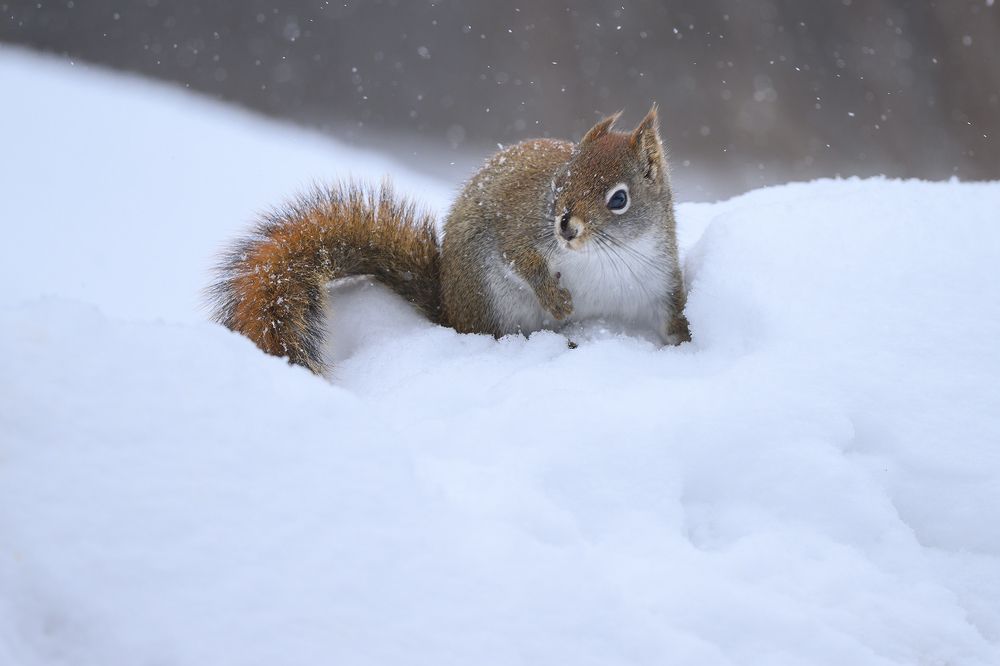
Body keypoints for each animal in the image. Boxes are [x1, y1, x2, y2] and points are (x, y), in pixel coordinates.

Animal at [209, 105, 690, 374]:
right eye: (560, 182)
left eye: (619, 199)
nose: (565, 226)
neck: (606, 256)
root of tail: (449, 307)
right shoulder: (516, 226)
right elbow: (520, 258)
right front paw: (555, 299)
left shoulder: (658, 283)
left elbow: (672, 320)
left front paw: (687, 346)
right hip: (488, 297)